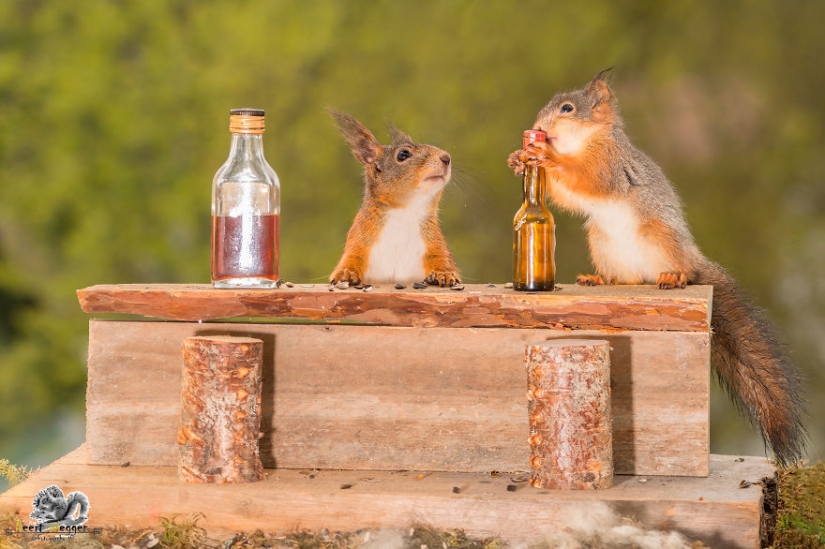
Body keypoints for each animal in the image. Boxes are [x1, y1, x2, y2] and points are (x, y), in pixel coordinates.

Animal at [328, 108, 460, 287]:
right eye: (403, 154)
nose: (446, 158)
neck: (405, 211)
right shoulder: (359, 238)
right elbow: (352, 256)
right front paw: (345, 272)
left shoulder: (435, 242)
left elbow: (442, 258)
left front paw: (444, 273)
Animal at [508, 70, 806, 466]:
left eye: (568, 108)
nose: (538, 128)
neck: (585, 141)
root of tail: (691, 257)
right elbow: (565, 194)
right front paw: (519, 158)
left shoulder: (610, 166)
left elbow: (587, 179)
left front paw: (543, 154)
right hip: (601, 240)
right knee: (628, 279)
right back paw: (599, 279)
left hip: (660, 235)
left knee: (678, 271)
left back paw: (673, 277)